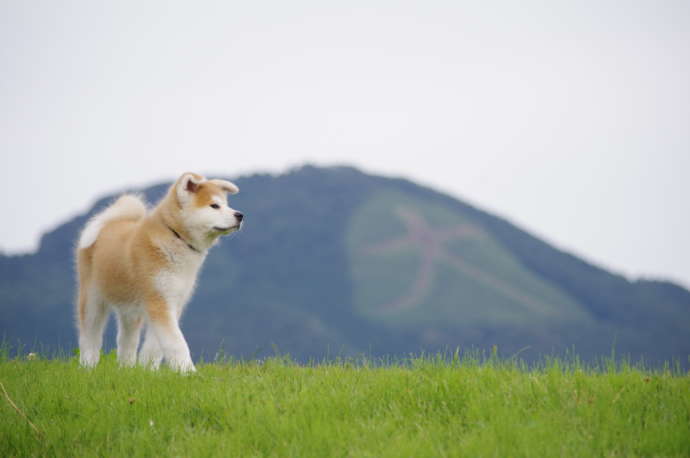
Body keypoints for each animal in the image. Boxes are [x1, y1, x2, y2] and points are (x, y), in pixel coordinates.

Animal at [74, 172, 242, 372]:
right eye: (214, 206)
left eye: (226, 204)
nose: (240, 215)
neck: (175, 236)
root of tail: (112, 222)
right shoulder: (159, 300)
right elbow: (176, 343)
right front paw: (188, 372)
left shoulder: (173, 302)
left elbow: (155, 346)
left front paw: (147, 370)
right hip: (93, 299)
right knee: (90, 337)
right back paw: (88, 366)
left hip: (130, 309)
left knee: (126, 340)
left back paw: (126, 368)